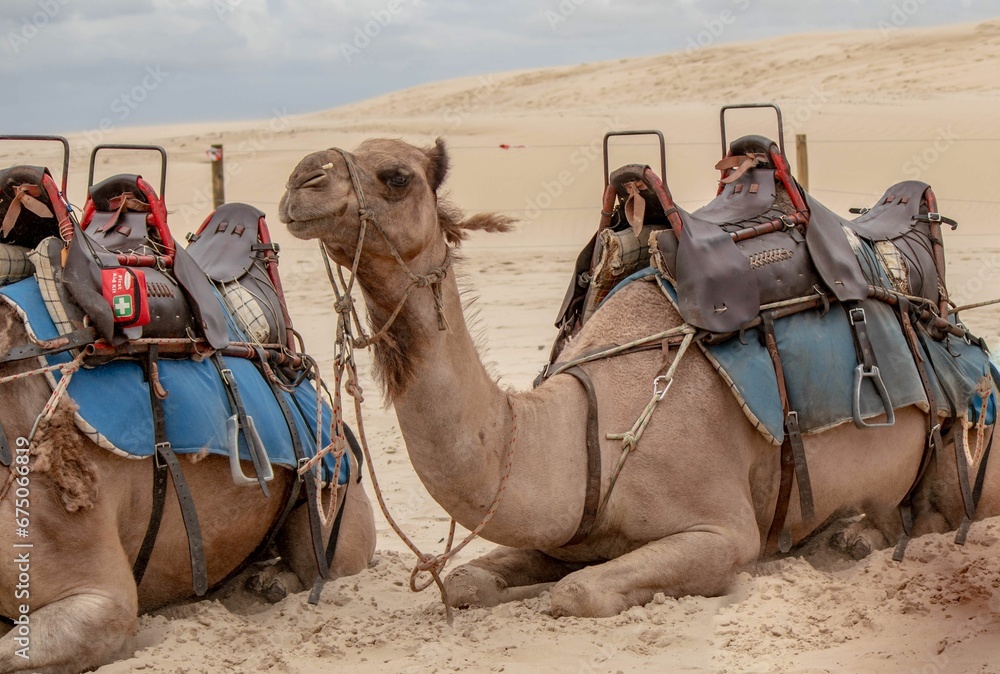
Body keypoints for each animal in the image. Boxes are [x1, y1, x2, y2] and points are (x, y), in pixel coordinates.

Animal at [278, 137, 1000, 618]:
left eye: (395, 175)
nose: (301, 179)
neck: (585, 425)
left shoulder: (722, 531)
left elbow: (577, 592)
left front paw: (549, 590)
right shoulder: (568, 528)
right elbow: (466, 582)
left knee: (939, 515)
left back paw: (857, 535)